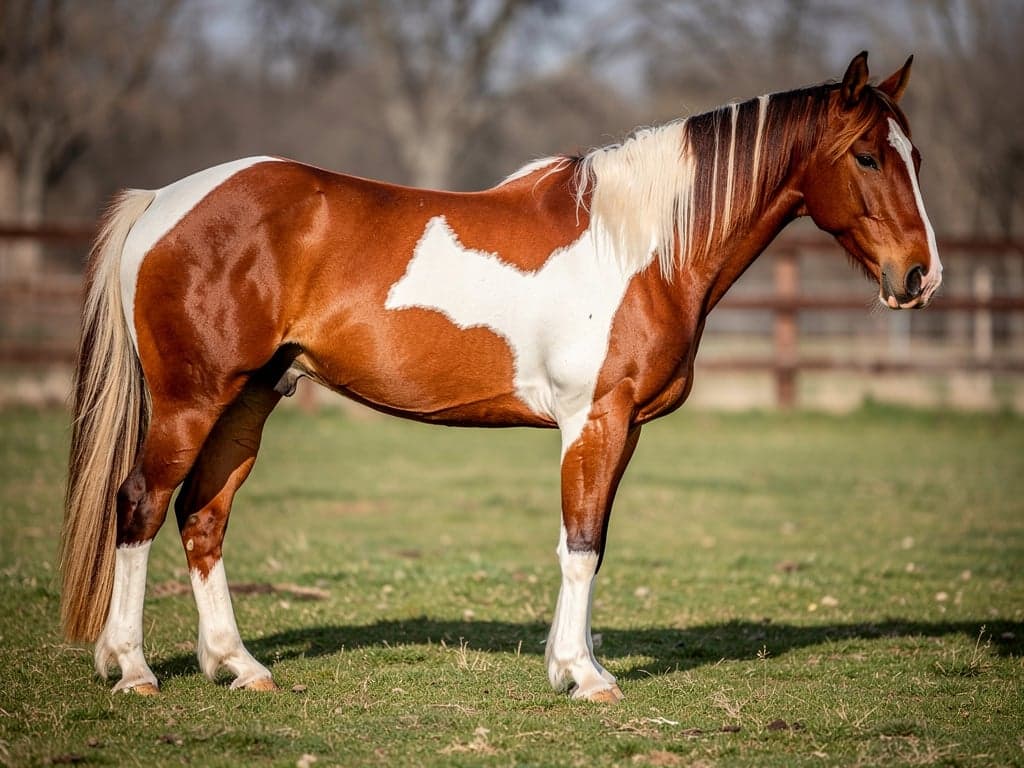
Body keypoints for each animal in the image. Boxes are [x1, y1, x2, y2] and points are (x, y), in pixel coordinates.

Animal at [60, 51, 941, 702]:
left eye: (917, 157)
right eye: (867, 155)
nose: (920, 276)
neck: (640, 246)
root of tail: (162, 201)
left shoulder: (619, 429)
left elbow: (592, 540)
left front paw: (572, 663)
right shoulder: (595, 419)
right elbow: (581, 544)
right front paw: (585, 677)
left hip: (248, 399)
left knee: (203, 518)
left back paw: (237, 666)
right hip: (191, 400)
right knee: (138, 505)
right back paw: (132, 668)